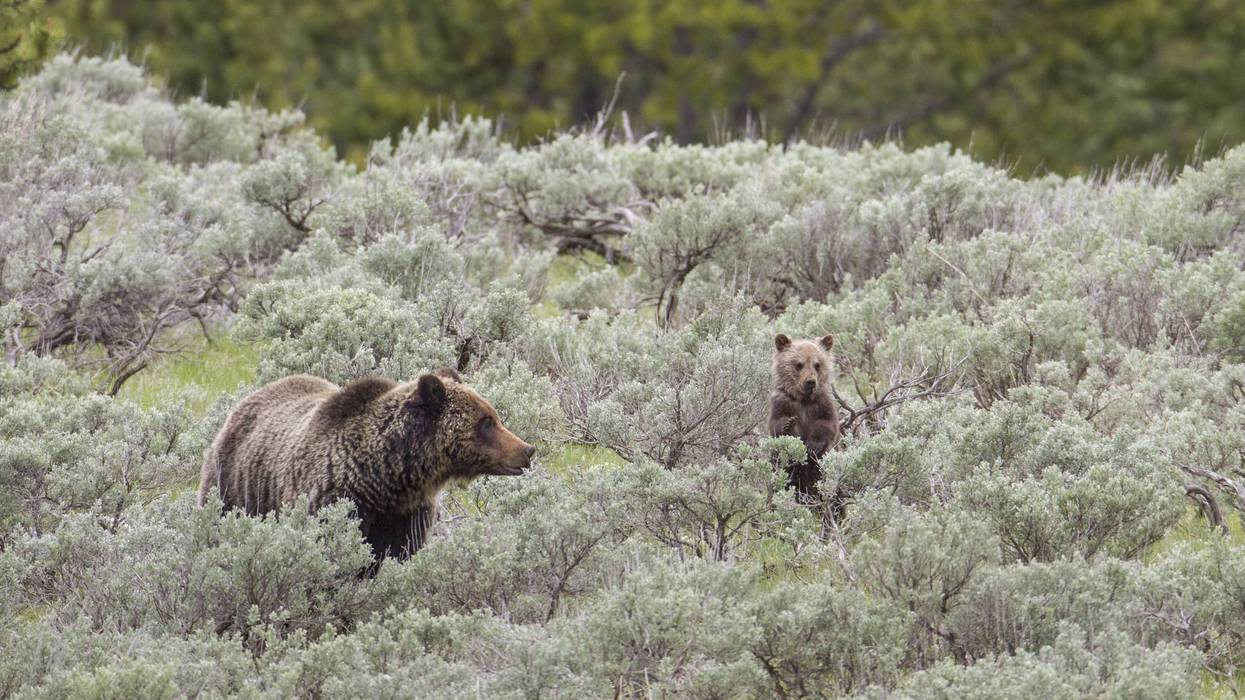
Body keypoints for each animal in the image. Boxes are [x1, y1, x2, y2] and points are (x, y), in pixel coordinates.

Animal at [198, 367, 534, 561]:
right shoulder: (332, 500)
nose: (527, 450)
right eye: (486, 422)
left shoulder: (406, 515)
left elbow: (400, 554)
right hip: (233, 487)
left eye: (493, 416)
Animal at [767, 333, 841, 509]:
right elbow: (776, 423)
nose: (810, 382)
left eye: (817, 364)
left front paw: (812, 446)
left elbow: (827, 425)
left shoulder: (822, 405)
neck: (803, 400)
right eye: (798, 364)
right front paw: (789, 426)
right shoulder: (782, 402)